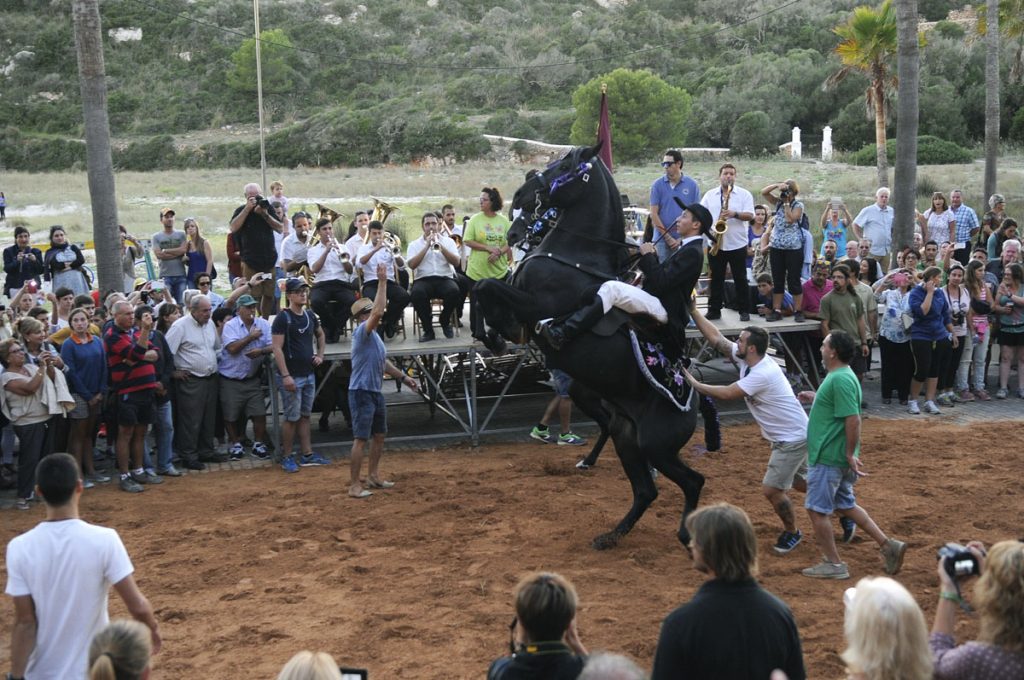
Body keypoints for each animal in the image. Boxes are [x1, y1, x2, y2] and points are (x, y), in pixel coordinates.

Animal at [475, 143, 708, 553]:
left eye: (566, 166)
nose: (518, 197)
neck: (575, 256)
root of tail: (692, 397)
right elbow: (480, 289)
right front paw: (490, 333)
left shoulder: (535, 304)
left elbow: (486, 289)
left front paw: (500, 333)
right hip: (627, 437)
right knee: (646, 491)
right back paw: (611, 535)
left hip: (656, 444)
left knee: (692, 481)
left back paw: (684, 533)